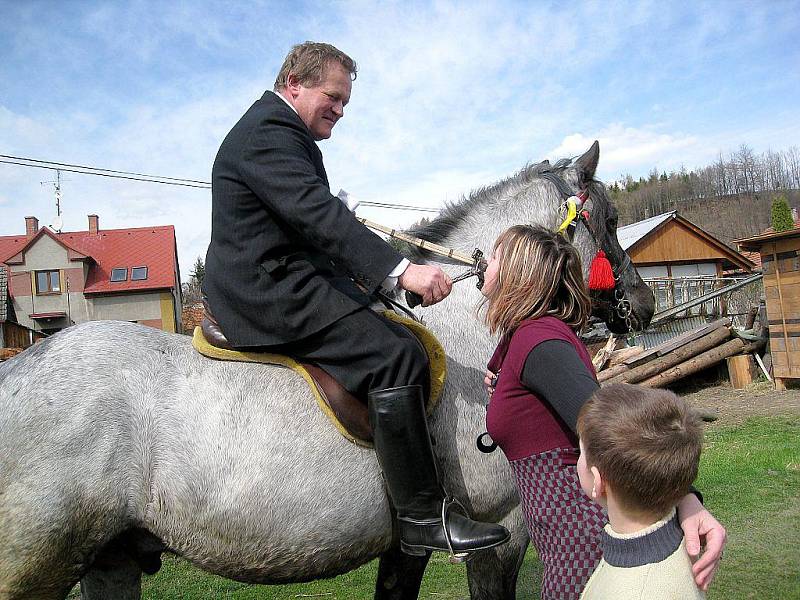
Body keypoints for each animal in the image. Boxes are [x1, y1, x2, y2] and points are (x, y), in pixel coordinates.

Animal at [0, 142, 648, 600]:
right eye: (610, 219)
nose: (640, 305)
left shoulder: (405, 546)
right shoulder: (500, 532)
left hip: (109, 560)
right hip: (35, 565)